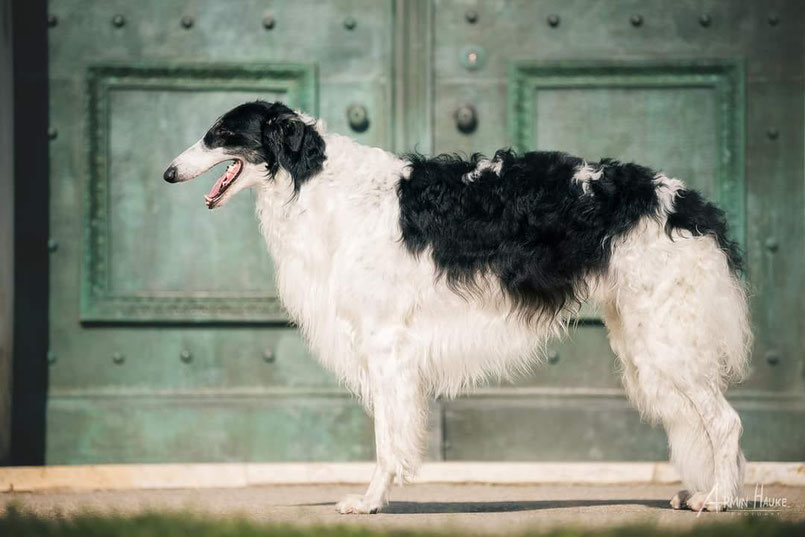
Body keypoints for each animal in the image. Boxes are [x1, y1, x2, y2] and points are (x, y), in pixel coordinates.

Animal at [165, 101, 752, 516]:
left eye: (221, 133)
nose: (168, 173)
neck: (319, 182)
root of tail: (688, 203)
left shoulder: (386, 344)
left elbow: (387, 439)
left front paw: (370, 501)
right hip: (643, 338)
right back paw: (701, 492)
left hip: (667, 340)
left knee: (726, 422)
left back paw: (721, 498)